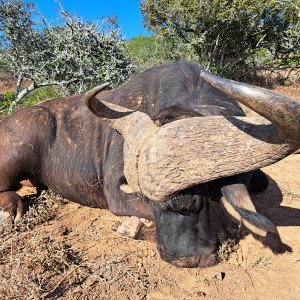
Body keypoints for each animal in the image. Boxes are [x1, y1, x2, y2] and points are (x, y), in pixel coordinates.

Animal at [0, 61, 300, 268]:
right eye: (155, 203)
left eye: (199, 198)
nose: (184, 258)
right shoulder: (117, 195)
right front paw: (134, 227)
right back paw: (11, 209)